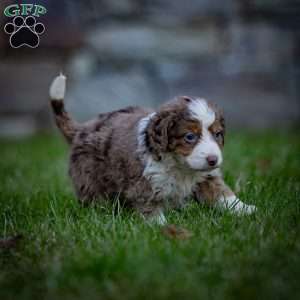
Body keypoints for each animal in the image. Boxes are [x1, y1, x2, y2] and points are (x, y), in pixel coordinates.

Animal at [49, 74, 255, 224]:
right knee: (94, 199)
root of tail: (82, 128)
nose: (213, 160)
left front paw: (246, 209)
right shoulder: (144, 183)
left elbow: (224, 194)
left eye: (218, 134)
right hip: (89, 178)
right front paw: (161, 226)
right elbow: (150, 208)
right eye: (190, 137)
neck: (181, 166)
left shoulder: (206, 176)